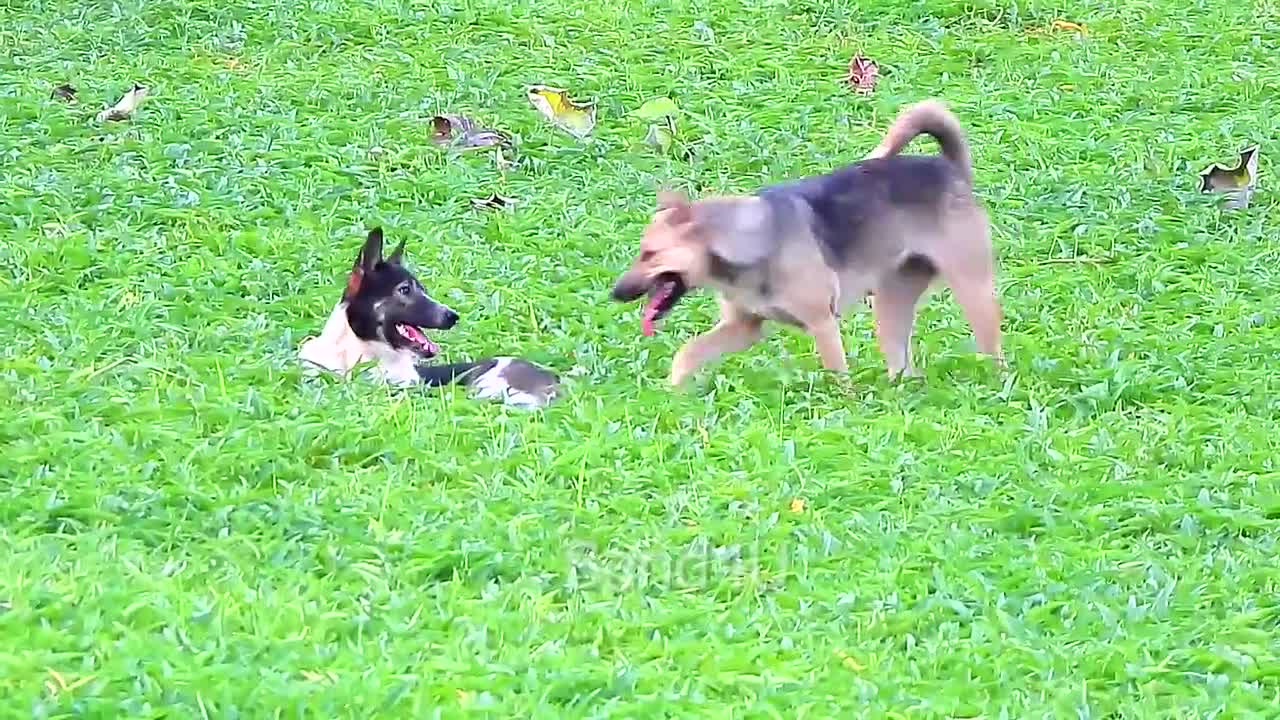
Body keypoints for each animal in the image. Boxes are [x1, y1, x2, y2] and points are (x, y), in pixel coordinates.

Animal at [604, 99, 1003, 386]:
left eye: (650, 254)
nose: (615, 293)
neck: (743, 241)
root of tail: (951, 169)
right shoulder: (743, 327)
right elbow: (686, 354)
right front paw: (673, 394)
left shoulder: (821, 322)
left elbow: (836, 375)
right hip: (891, 301)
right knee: (902, 362)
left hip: (972, 287)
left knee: (992, 347)